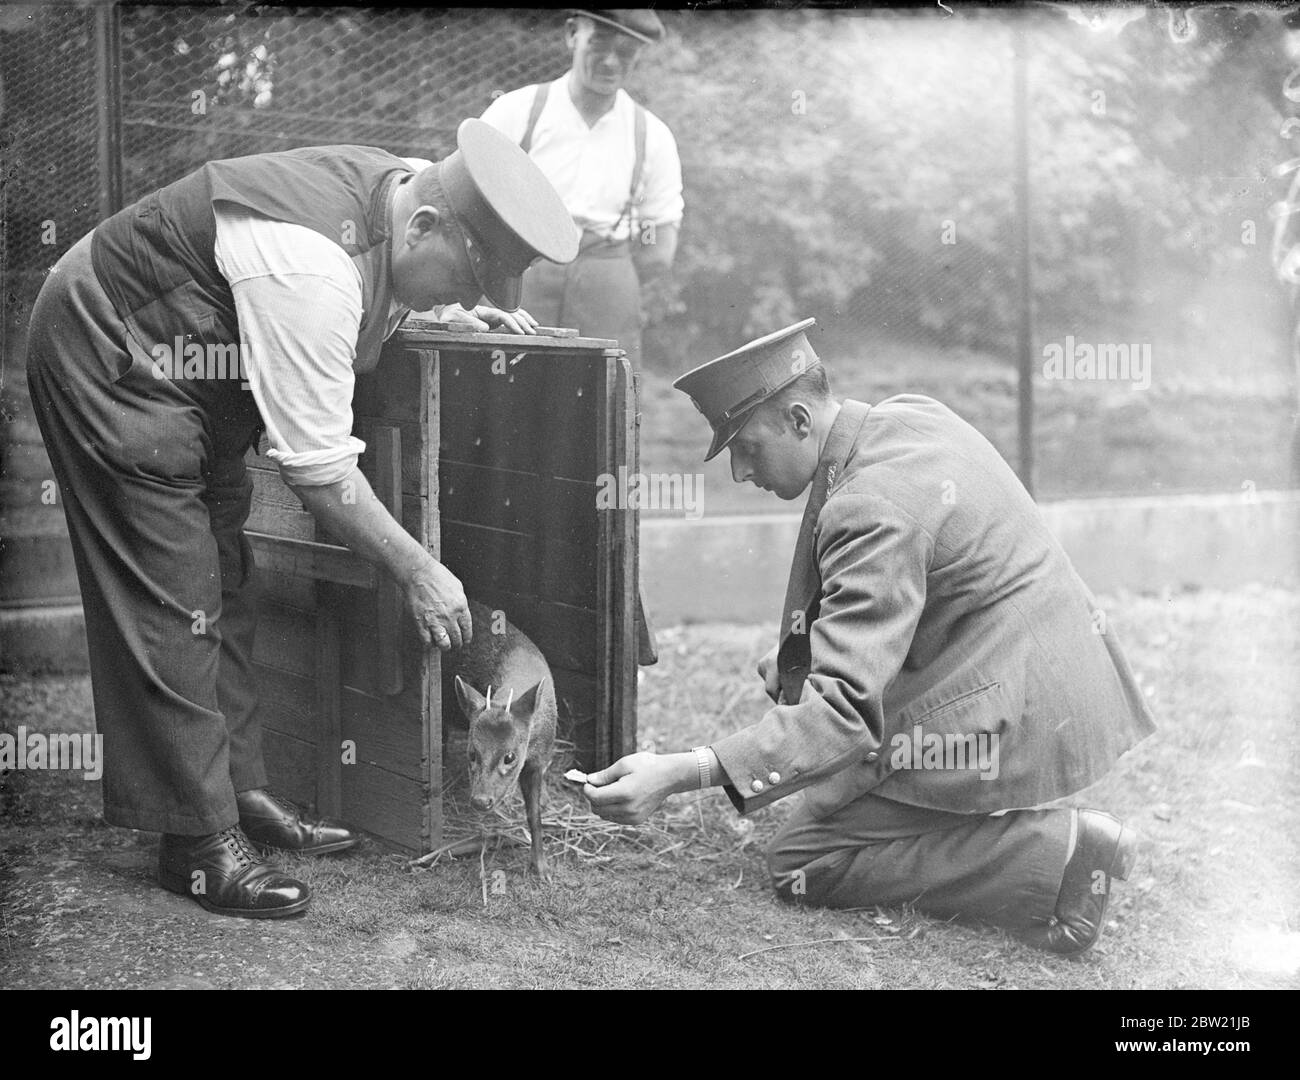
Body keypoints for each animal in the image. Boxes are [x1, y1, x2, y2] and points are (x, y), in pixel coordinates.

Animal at [444, 600, 556, 878]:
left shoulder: (538, 760)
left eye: (510, 757)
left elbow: (534, 814)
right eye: (472, 753)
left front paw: (541, 868)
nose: (480, 800)